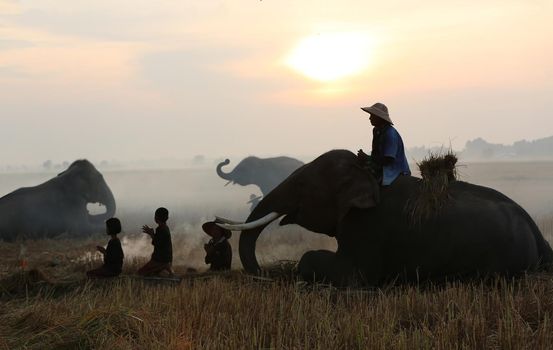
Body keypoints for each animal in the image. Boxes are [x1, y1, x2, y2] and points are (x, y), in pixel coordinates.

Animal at [217, 149, 552, 286]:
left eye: (301, 186)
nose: (264, 275)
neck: (365, 173)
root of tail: (539, 237)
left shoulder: (368, 227)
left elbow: (351, 274)